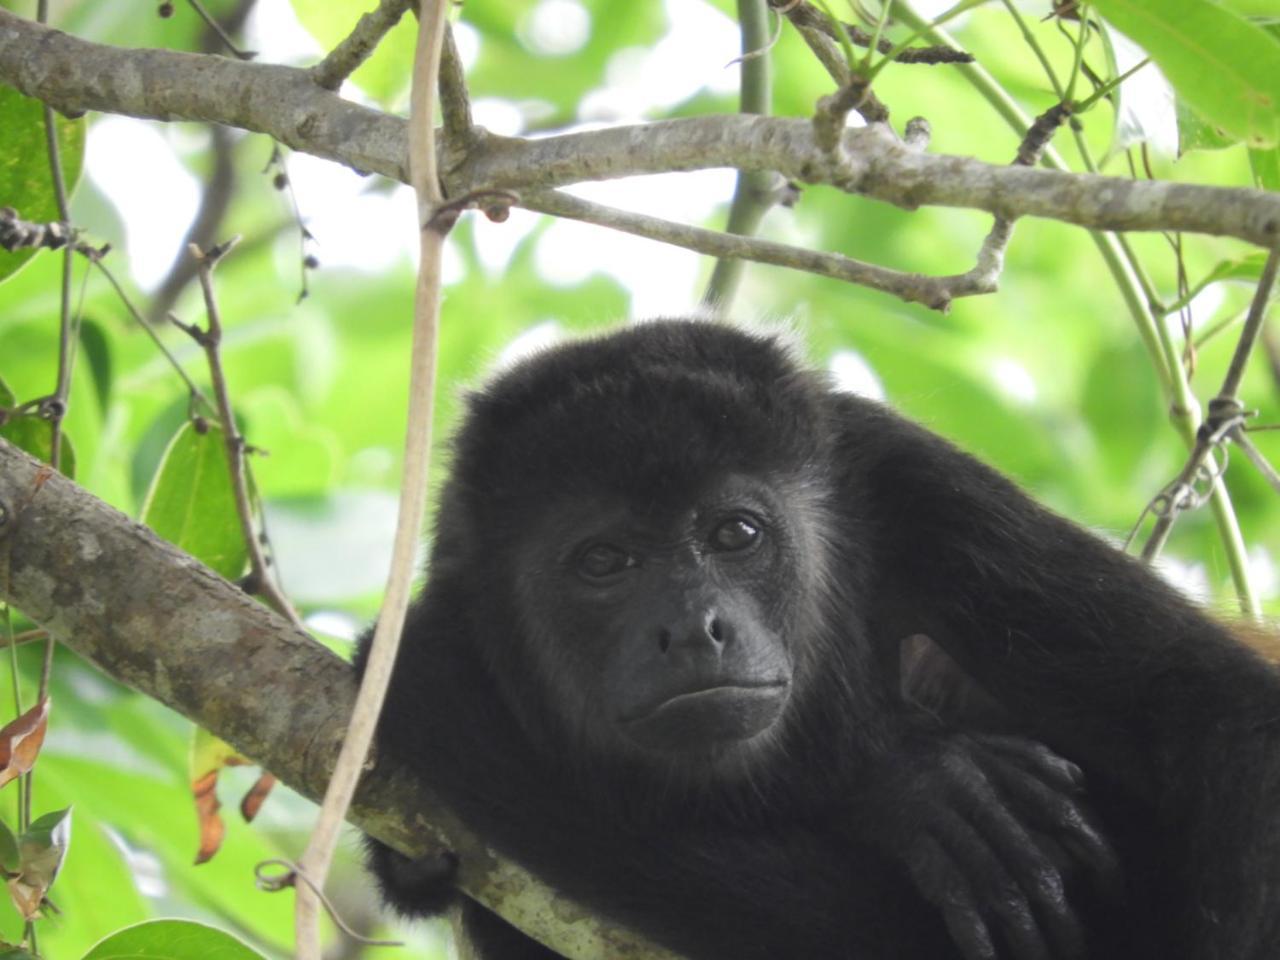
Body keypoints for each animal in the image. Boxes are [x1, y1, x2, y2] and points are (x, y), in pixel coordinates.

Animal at [358, 321, 1280, 960]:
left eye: (735, 533)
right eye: (603, 561)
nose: (693, 627)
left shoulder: (914, 483)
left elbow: (1214, 708)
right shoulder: (449, 611)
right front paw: (899, 785)